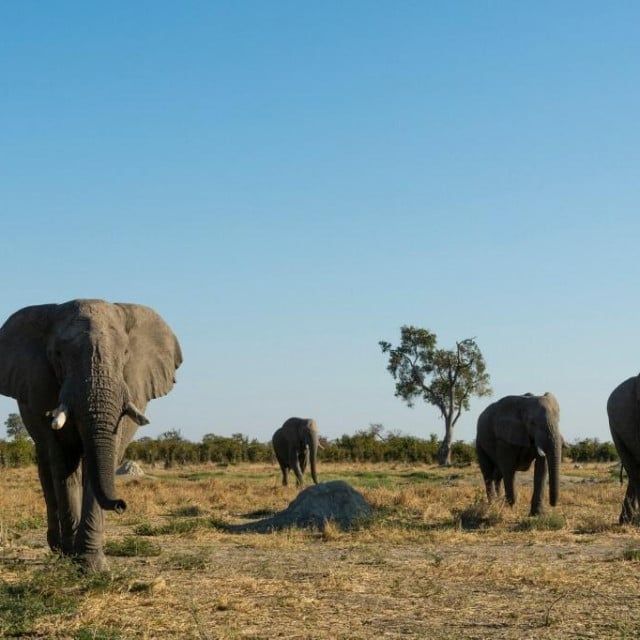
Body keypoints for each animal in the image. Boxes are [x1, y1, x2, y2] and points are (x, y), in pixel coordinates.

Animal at [0, 300, 182, 568]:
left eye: (125, 354)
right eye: (58, 354)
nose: (121, 504)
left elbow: (101, 463)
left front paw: (91, 564)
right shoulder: (43, 387)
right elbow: (65, 464)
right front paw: (72, 556)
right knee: (47, 466)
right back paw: (58, 547)